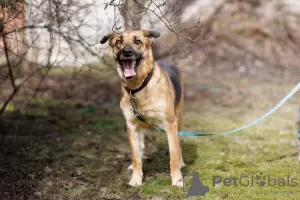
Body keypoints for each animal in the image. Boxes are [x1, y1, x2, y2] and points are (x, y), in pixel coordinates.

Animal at [101, 29, 185, 188]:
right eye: (119, 41)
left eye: (137, 41)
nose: (127, 52)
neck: (138, 87)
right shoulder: (132, 126)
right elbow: (135, 156)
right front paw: (136, 178)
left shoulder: (170, 124)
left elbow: (173, 155)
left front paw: (177, 179)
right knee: (140, 147)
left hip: (178, 118)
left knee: (179, 143)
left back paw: (182, 162)